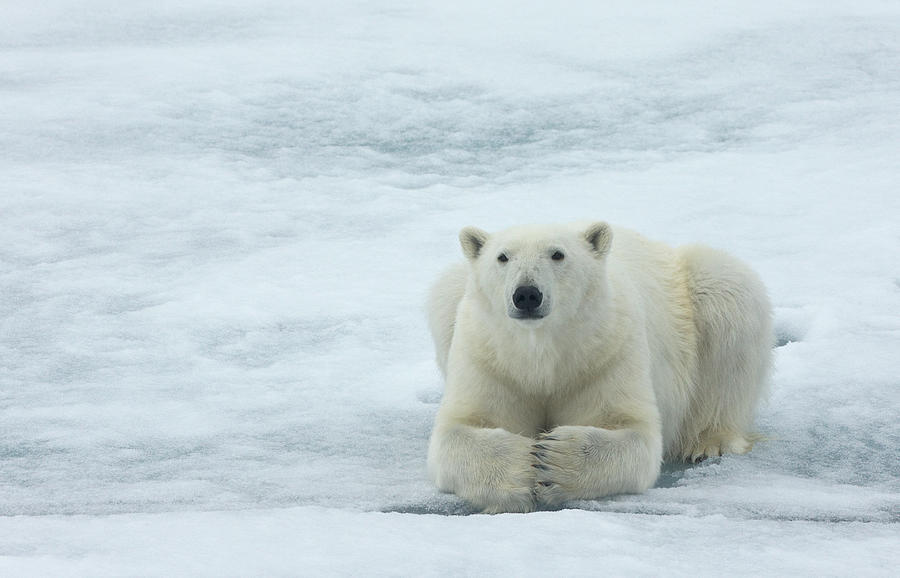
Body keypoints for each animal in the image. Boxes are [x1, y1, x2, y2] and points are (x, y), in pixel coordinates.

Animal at [428, 222, 772, 512]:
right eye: (502, 257)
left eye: (557, 254)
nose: (527, 294)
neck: (542, 352)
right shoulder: (491, 359)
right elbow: (459, 430)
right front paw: (521, 470)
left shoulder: (605, 354)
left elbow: (632, 431)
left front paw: (552, 457)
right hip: (454, 296)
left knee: (728, 295)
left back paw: (709, 442)